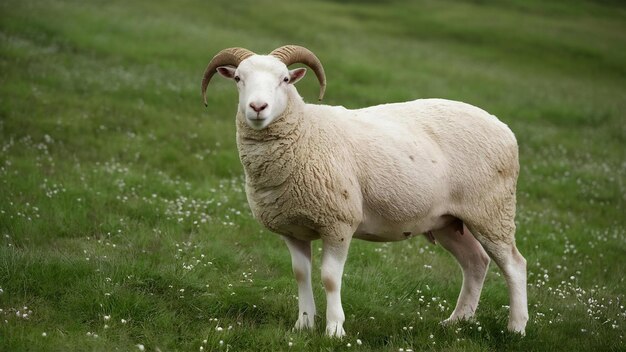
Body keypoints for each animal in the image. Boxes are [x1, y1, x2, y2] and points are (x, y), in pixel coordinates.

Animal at [200, 45, 528, 336]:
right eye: (238, 78)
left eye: (284, 79)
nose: (257, 108)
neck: (305, 132)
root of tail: (504, 128)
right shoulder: (293, 229)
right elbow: (300, 274)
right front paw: (303, 324)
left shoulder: (338, 223)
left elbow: (330, 278)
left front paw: (334, 329)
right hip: (448, 220)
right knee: (476, 263)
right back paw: (457, 321)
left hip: (491, 210)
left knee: (514, 265)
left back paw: (516, 328)